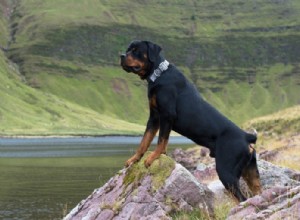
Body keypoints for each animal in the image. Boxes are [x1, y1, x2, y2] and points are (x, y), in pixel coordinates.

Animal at [120, 39, 262, 201]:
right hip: (251, 173)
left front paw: (154, 157)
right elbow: (144, 141)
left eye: (136, 50)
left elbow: (161, 140)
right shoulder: (154, 117)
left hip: (226, 171)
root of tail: (246, 137)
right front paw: (134, 159)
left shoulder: (167, 115)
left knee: (241, 198)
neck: (159, 74)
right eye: (128, 49)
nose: (121, 56)